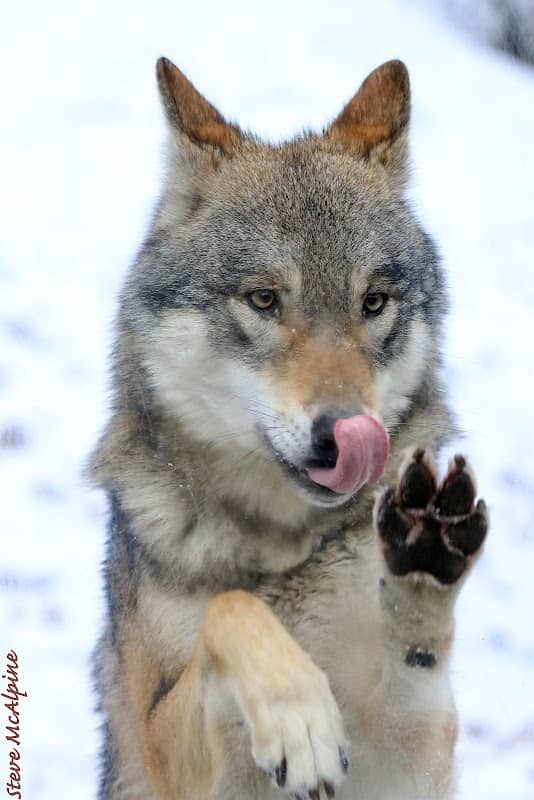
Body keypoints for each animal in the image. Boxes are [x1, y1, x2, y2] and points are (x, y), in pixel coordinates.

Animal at [89, 56, 489, 800]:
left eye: (374, 302)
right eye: (264, 299)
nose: (347, 436)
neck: (286, 552)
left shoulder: (410, 763)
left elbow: (412, 667)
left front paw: (424, 565)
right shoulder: (164, 750)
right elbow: (233, 611)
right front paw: (300, 720)